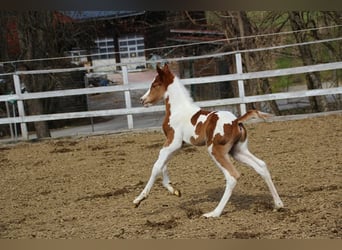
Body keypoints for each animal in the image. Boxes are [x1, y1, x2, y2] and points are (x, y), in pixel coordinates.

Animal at [134, 64, 284, 217]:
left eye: (155, 85)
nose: (142, 100)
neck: (178, 110)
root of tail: (236, 121)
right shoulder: (177, 145)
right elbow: (163, 164)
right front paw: (174, 190)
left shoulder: (173, 142)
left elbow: (157, 166)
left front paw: (139, 199)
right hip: (238, 151)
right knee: (261, 166)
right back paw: (278, 205)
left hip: (215, 150)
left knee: (232, 176)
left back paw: (214, 213)